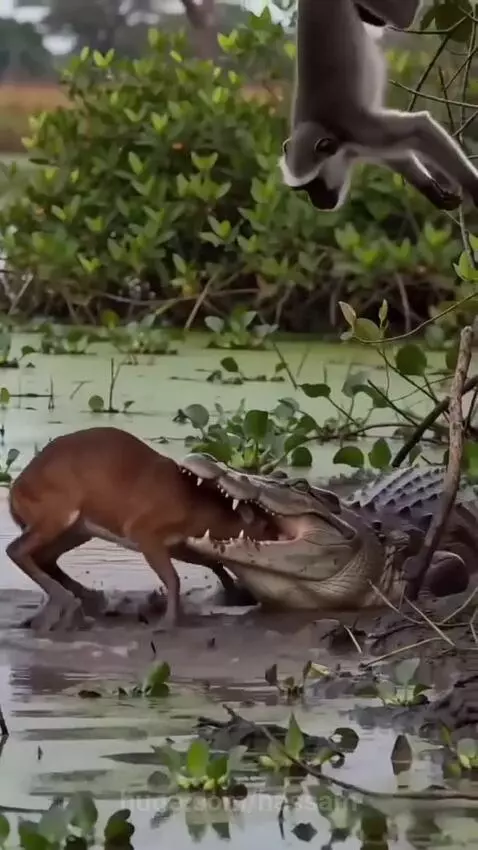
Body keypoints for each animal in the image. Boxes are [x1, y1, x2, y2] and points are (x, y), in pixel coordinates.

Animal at [279, 0, 478, 212]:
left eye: (315, 185)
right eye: (303, 189)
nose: (317, 202)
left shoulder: (358, 130)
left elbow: (420, 128)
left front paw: (473, 186)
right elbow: (395, 155)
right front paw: (430, 190)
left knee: (404, 18)